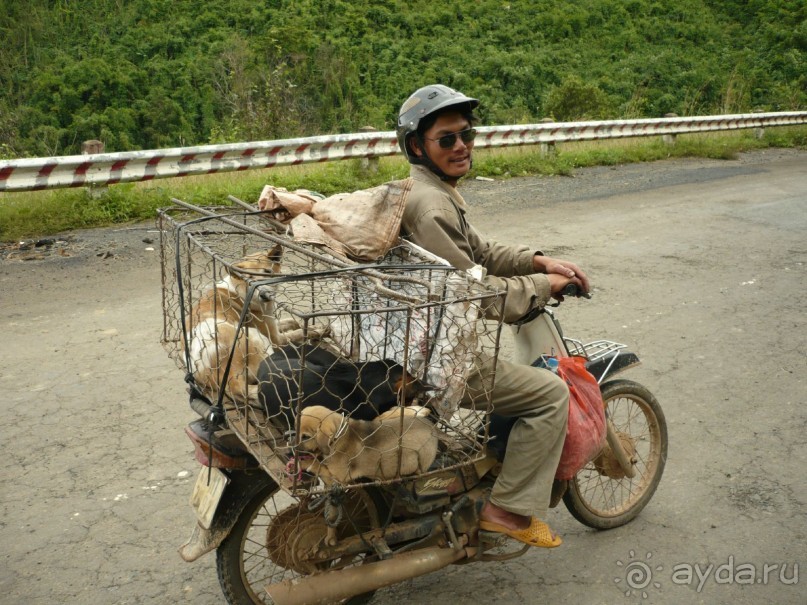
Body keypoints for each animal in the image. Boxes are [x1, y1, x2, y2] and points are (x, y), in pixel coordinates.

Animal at [296, 404, 438, 484]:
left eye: (305, 437)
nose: (292, 450)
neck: (340, 435)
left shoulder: (337, 479)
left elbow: (317, 465)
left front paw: (304, 463)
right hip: (384, 420)